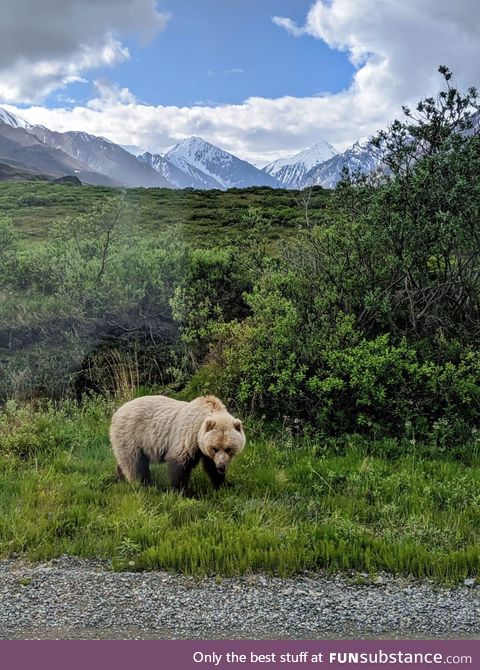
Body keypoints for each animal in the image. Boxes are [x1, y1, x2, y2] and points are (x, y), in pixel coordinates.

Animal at [107, 394, 246, 494]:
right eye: (215, 448)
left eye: (228, 449)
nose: (221, 466)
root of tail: (117, 413)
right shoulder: (188, 436)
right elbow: (179, 463)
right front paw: (185, 491)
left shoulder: (204, 448)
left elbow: (210, 466)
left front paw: (225, 485)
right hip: (131, 435)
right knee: (135, 463)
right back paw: (145, 485)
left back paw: (121, 476)